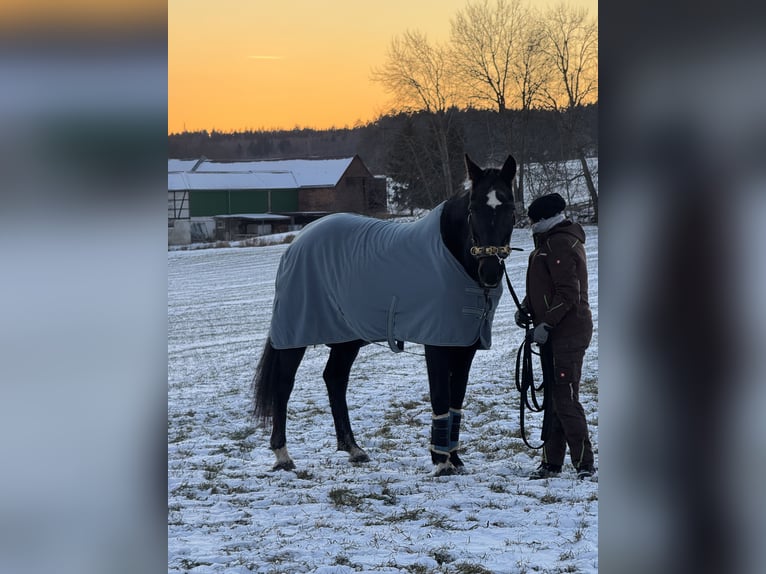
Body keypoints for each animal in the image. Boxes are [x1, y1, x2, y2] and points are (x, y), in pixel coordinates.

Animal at [252, 154, 517, 476]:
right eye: (473, 208)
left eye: (510, 208)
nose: (490, 272)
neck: (452, 257)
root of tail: (297, 242)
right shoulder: (437, 344)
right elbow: (441, 397)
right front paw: (441, 462)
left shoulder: (465, 346)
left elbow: (456, 400)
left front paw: (455, 459)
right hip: (296, 331)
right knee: (284, 384)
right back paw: (283, 455)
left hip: (347, 337)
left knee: (335, 378)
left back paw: (353, 449)